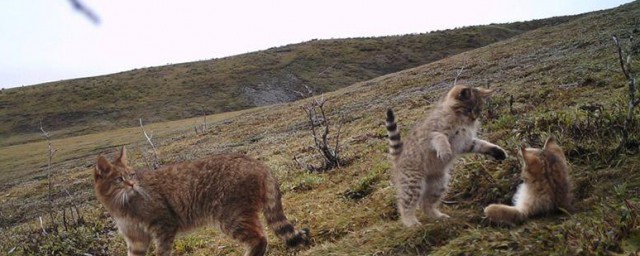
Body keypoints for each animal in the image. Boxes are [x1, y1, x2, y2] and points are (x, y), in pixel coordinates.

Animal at [94, 146, 310, 256]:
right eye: (119, 179)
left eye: (131, 175)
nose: (132, 184)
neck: (120, 206)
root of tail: (257, 162)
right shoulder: (135, 239)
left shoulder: (164, 225)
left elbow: (162, 251)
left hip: (231, 215)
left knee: (260, 238)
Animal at [388, 85, 508, 227]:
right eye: (468, 109)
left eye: (478, 110)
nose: (474, 118)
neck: (460, 120)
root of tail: (398, 157)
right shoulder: (431, 134)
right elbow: (440, 137)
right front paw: (445, 151)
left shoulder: (465, 143)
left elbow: (482, 144)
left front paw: (497, 151)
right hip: (413, 183)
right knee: (405, 205)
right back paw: (410, 222)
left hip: (439, 183)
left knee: (425, 204)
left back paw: (438, 216)